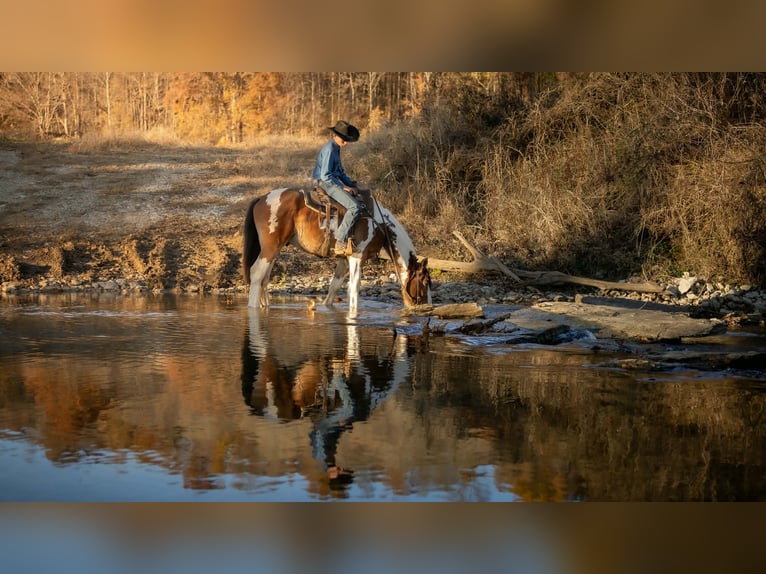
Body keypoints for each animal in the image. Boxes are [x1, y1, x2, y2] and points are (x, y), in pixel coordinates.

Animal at [242, 187, 432, 312]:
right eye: (423, 282)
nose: (426, 307)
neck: (378, 224)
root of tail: (262, 198)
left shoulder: (344, 259)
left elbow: (335, 284)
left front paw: (327, 306)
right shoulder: (357, 257)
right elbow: (354, 288)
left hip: (275, 249)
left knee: (264, 278)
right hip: (270, 247)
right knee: (256, 273)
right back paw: (253, 307)